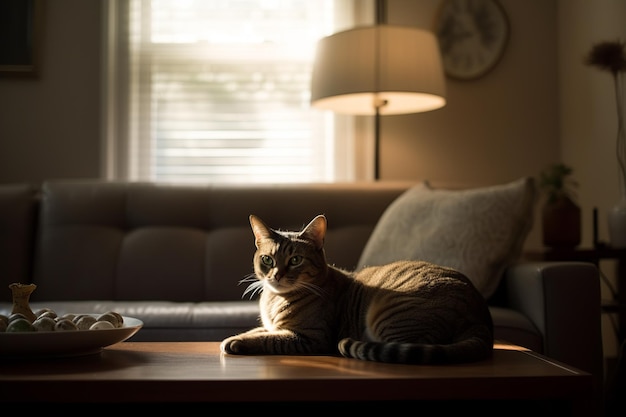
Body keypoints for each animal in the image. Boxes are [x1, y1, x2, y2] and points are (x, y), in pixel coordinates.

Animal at [219, 214, 492, 364]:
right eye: (267, 260)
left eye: (295, 260)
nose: (276, 275)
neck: (275, 299)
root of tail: (481, 315)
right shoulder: (273, 326)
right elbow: (258, 331)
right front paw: (235, 336)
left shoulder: (310, 338)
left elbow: (268, 339)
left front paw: (234, 342)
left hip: (388, 316)